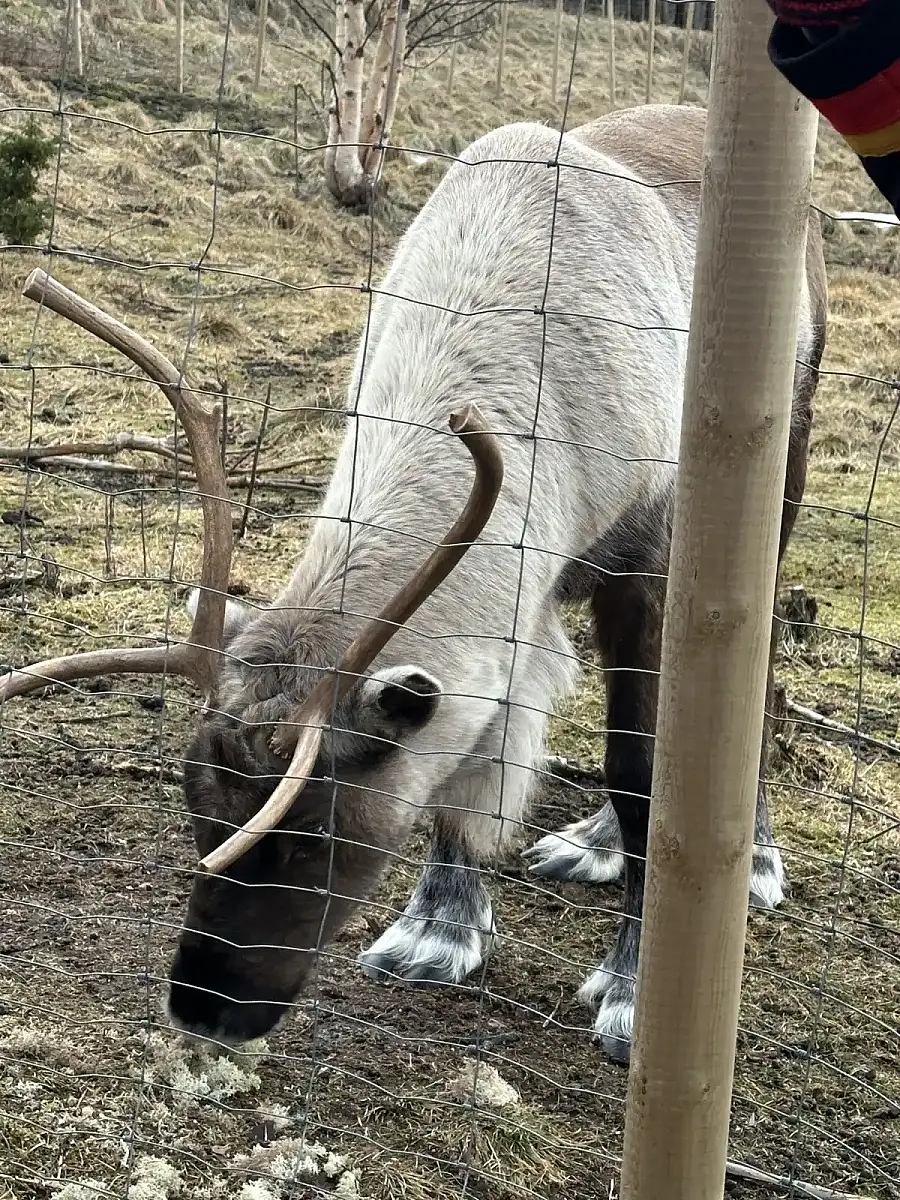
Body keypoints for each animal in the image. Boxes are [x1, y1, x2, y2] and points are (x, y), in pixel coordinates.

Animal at [2, 103, 827, 1065]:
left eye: (310, 837)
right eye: (199, 809)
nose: (200, 1009)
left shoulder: (649, 569)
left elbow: (643, 771)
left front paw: (630, 995)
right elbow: (473, 752)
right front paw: (440, 928)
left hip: (784, 468)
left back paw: (748, 857)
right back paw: (593, 842)